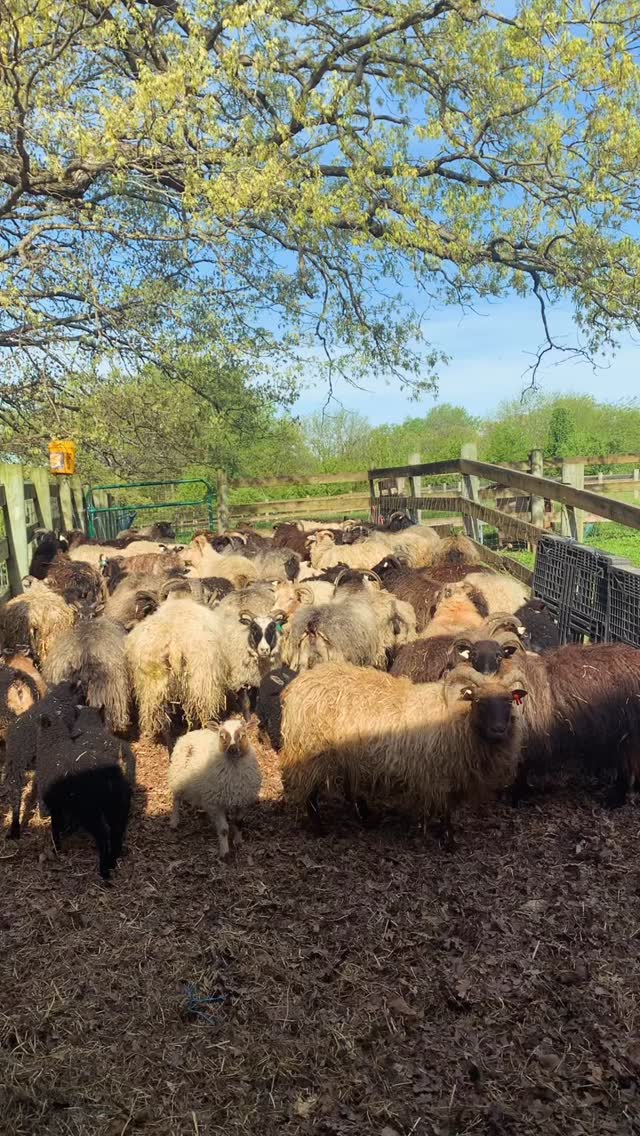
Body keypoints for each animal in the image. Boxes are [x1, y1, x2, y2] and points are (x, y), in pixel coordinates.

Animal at [169, 719, 262, 857]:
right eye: (222, 736)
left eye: (243, 735)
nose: (233, 749)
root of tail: (194, 731)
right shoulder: (216, 803)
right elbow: (223, 829)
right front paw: (225, 852)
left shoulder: (243, 800)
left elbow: (238, 822)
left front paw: (238, 842)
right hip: (177, 775)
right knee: (176, 799)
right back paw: (174, 822)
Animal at [280, 663, 528, 845]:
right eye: (478, 700)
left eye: (509, 701)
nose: (498, 729)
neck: (460, 719)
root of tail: (298, 685)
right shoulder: (438, 775)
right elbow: (445, 810)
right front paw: (448, 842)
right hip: (312, 752)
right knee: (310, 794)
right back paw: (320, 829)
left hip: (347, 755)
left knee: (350, 790)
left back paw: (366, 818)